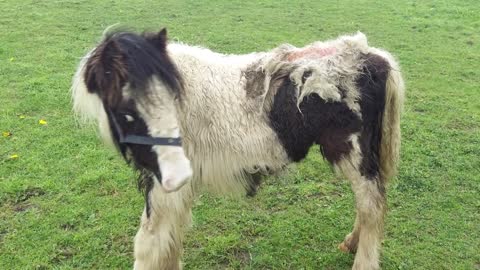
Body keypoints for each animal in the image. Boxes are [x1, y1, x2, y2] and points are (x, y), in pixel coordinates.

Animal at [72, 28, 404, 270]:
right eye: (127, 106)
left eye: (168, 97)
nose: (176, 172)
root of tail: (373, 56)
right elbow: (171, 236)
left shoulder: (160, 185)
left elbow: (149, 242)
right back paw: (350, 243)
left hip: (355, 154)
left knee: (371, 205)